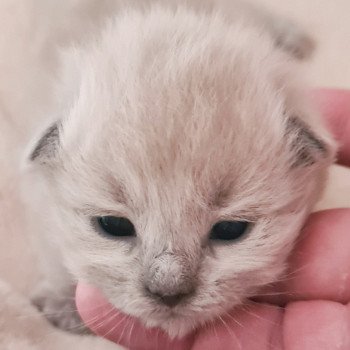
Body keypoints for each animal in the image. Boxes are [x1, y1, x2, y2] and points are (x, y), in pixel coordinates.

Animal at [21, 0, 334, 340]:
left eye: (230, 230)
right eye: (113, 225)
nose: (168, 292)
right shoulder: (41, 202)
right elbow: (54, 252)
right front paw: (64, 304)